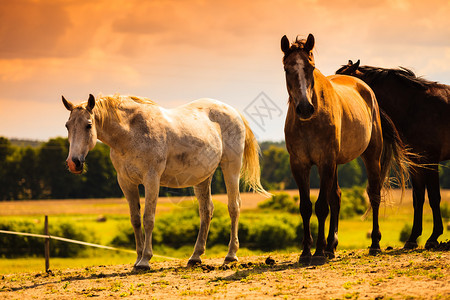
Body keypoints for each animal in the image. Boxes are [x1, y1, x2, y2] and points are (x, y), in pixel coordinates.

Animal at [62, 94, 268, 270]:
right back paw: (195, 257)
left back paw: (230, 255)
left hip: (231, 168)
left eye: (88, 125)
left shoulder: (151, 179)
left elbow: (148, 218)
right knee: (206, 211)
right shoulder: (126, 183)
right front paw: (137, 258)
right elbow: (135, 220)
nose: (74, 163)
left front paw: (145, 260)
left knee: (234, 207)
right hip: (203, 178)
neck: (131, 133)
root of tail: (233, 111)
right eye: (67, 125)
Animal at [282, 34, 412, 264]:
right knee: (337, 197)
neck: (309, 122)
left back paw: (374, 244)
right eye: (287, 69)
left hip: (371, 155)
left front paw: (318, 251)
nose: (305, 108)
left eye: (311, 67)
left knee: (374, 195)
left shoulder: (325, 162)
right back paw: (331, 247)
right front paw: (306, 252)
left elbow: (321, 206)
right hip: (335, 164)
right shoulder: (299, 164)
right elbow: (306, 207)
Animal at [338, 60, 450, 248]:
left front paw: (434, 236)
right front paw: (412, 238)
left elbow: (434, 197)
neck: (415, 106)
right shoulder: (416, 162)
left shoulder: (431, 161)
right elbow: (418, 198)